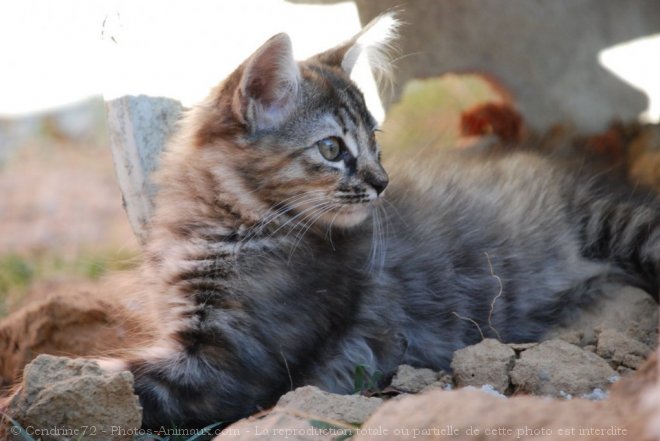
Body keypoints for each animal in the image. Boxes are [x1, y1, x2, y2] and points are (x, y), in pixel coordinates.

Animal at [100, 12, 656, 426]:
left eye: (375, 142)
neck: (225, 225)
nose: (382, 181)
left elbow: (115, 375)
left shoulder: (225, 366)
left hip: (618, 224)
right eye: (332, 148)